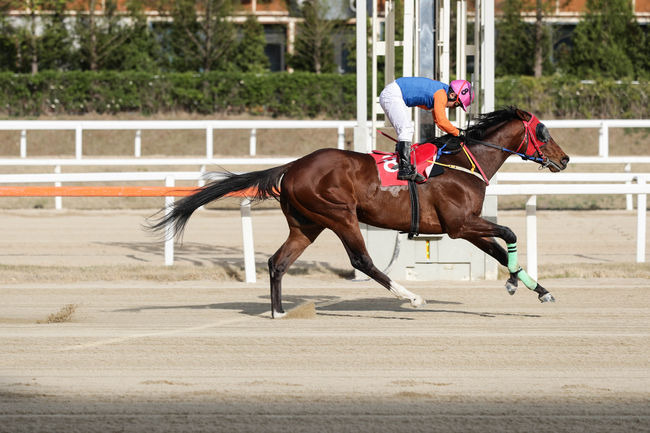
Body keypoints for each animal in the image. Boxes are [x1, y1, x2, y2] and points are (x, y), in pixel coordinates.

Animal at [147, 107, 568, 318]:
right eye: (543, 132)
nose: (564, 159)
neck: (463, 163)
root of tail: (292, 166)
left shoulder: (467, 226)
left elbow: (499, 250)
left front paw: (537, 289)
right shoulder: (459, 224)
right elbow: (509, 234)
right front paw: (515, 283)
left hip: (307, 224)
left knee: (277, 262)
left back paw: (279, 312)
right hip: (339, 215)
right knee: (362, 260)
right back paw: (411, 297)